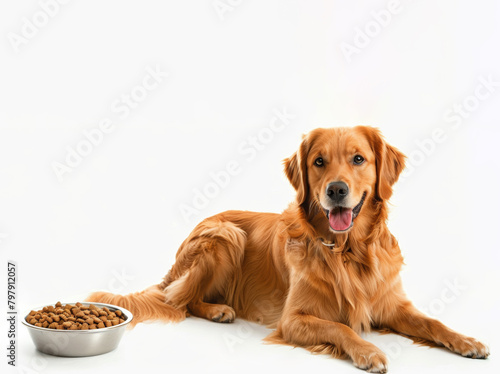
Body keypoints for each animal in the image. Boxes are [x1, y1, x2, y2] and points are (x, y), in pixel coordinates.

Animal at [88, 127, 490, 372]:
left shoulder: (391, 305)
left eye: (359, 158)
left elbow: (432, 322)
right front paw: (369, 350)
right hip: (226, 234)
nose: (336, 190)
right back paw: (218, 310)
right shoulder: (293, 319)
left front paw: (467, 341)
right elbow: (341, 328)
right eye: (319, 161)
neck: (348, 252)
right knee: (178, 300)